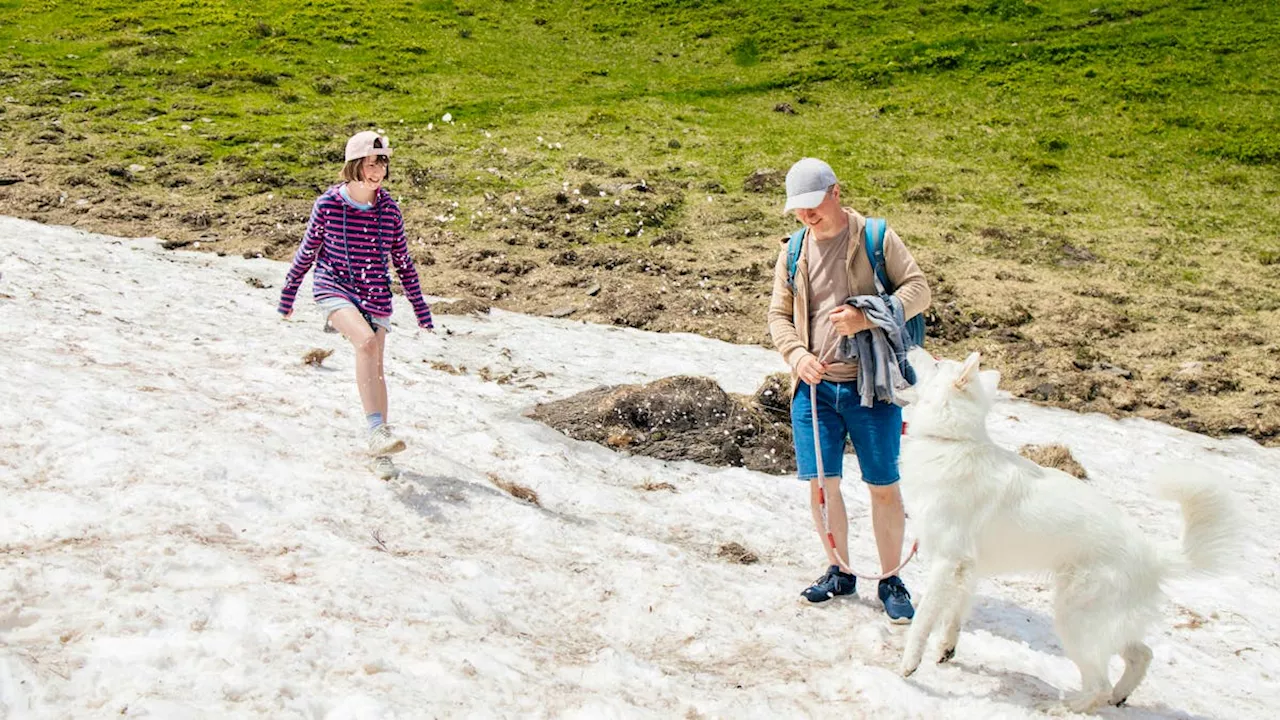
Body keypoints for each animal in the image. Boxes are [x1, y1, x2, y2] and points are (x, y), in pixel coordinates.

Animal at [896, 348, 1233, 712]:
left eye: (938, 363)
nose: (911, 347)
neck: (952, 441)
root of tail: (1152, 555)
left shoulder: (948, 562)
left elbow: (924, 618)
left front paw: (909, 663)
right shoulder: (967, 568)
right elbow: (955, 613)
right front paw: (946, 648)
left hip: (1075, 619)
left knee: (1099, 683)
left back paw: (1064, 708)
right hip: (1102, 625)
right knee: (1141, 655)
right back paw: (1119, 696)